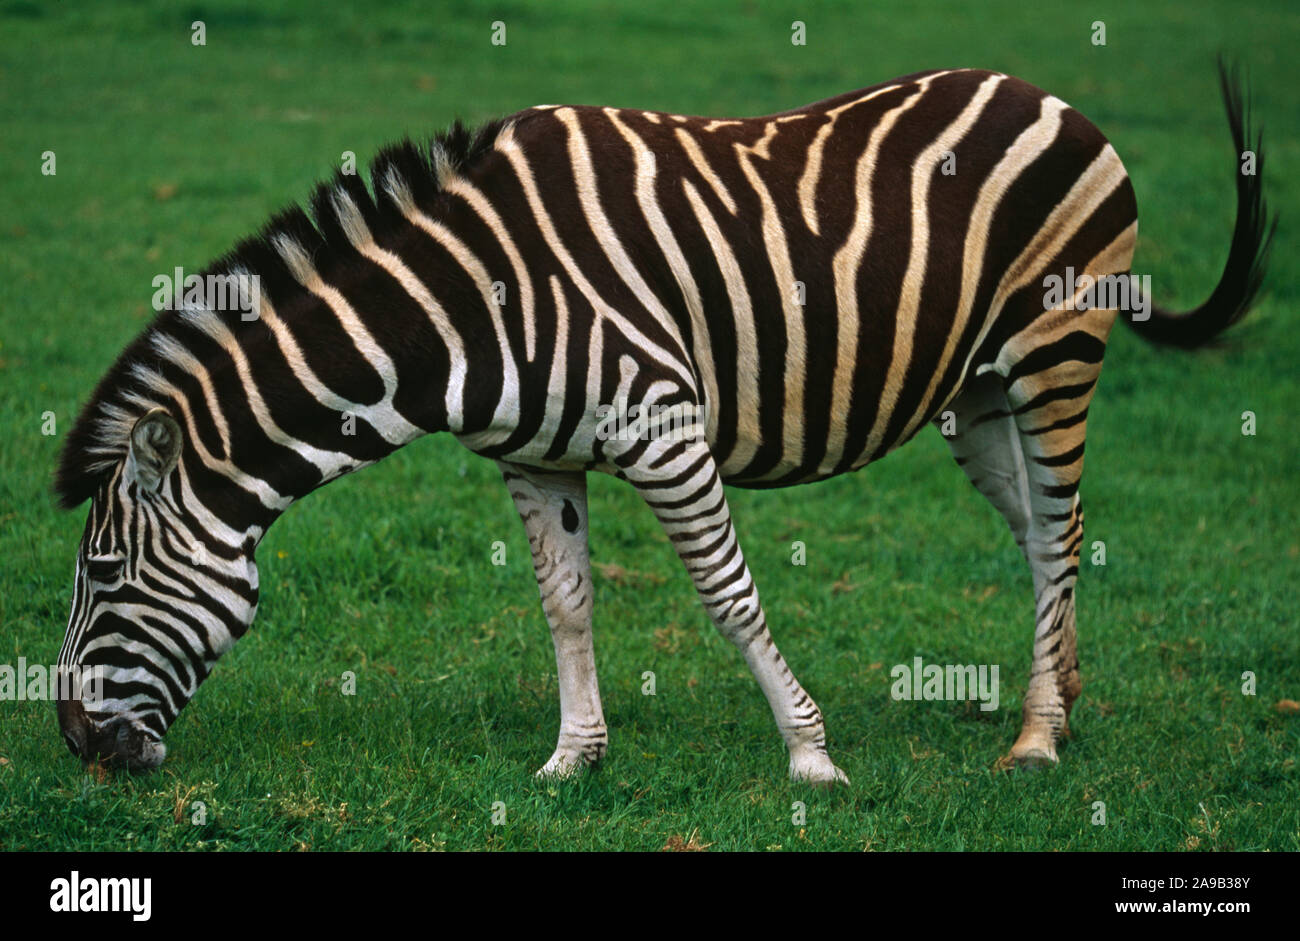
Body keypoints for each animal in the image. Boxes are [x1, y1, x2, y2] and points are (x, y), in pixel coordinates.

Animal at [53, 64, 1268, 785]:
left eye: (102, 574)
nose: (76, 742)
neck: (465, 306)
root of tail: (1047, 93)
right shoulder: (532, 460)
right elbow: (565, 603)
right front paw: (573, 758)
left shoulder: (663, 429)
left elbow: (730, 595)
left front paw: (810, 756)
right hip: (972, 394)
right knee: (1041, 535)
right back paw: (1060, 696)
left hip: (1057, 351)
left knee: (1060, 531)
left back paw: (1036, 738)